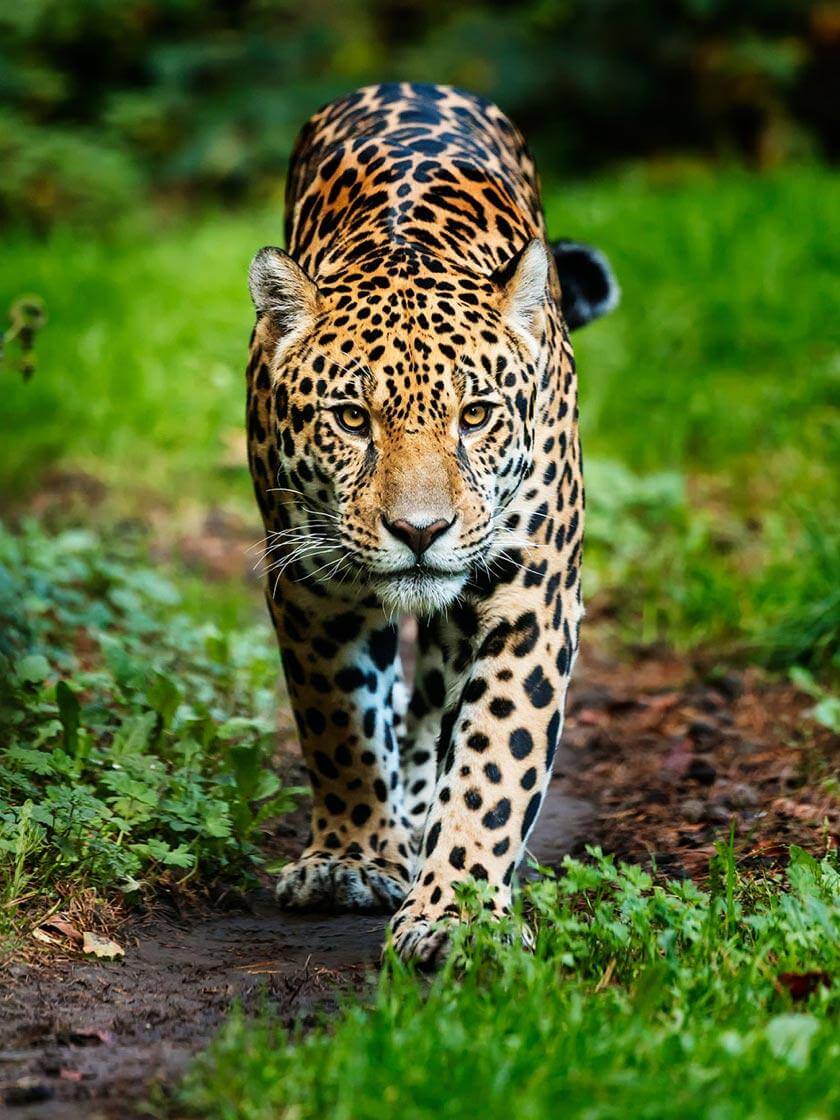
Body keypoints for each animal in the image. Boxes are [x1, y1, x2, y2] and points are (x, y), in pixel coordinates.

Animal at [245, 82, 618, 966]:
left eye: (475, 415)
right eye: (351, 418)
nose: (421, 531)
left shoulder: (531, 596)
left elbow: (495, 757)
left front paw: (459, 913)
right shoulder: (312, 589)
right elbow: (339, 724)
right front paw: (348, 860)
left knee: (439, 697)